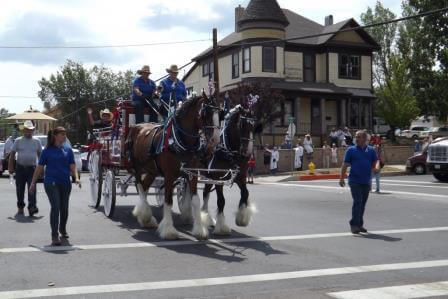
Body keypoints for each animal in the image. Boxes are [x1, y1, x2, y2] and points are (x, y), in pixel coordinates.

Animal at [125, 96, 220, 241]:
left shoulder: (192, 174)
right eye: (206, 114)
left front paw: (199, 230)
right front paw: (169, 231)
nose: (215, 140)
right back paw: (145, 214)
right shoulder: (169, 175)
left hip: (152, 170)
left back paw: (145, 217)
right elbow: (168, 201)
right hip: (137, 167)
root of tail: (137, 126)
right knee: (140, 185)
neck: (180, 141)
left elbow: (196, 201)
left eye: (219, 114)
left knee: (144, 187)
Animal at [202, 106, 256, 237]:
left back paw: (207, 218)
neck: (227, 152)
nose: (248, 153)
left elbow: (245, 193)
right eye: (242, 125)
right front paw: (221, 227)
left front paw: (242, 218)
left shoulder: (240, 178)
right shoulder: (218, 179)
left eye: (254, 127)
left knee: (205, 193)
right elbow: (221, 201)